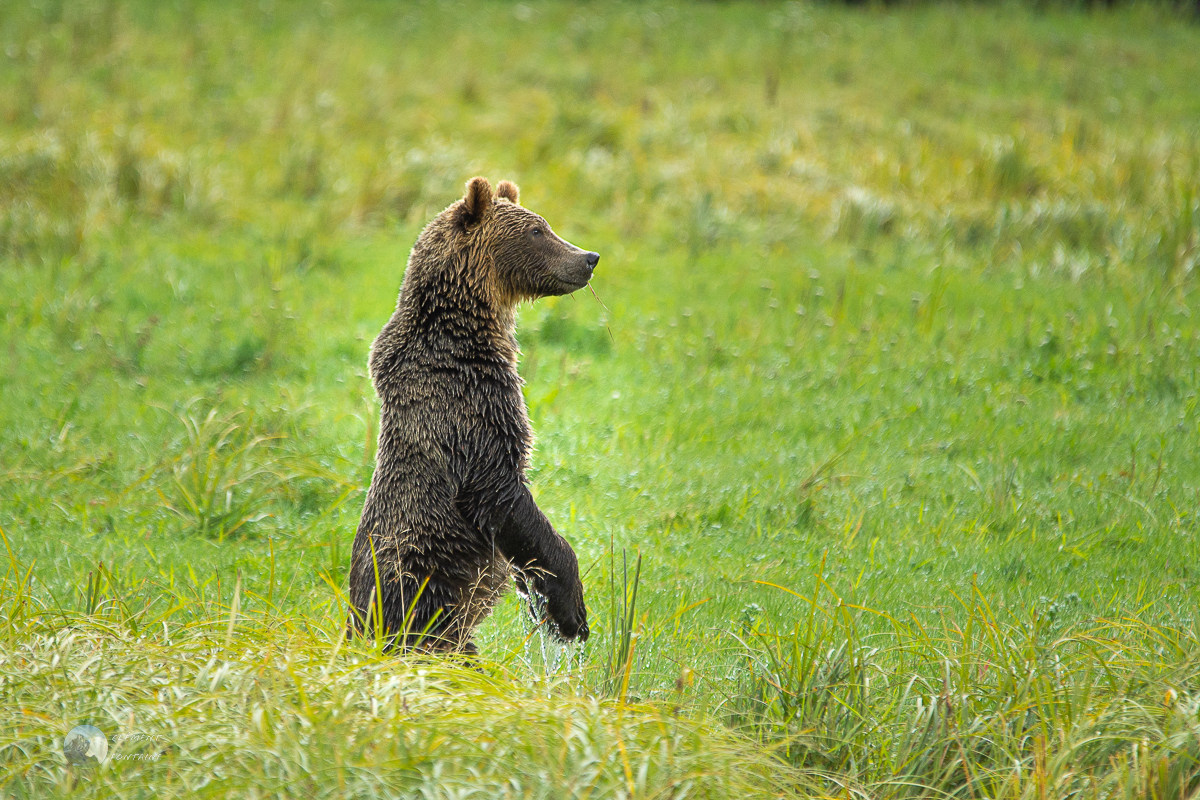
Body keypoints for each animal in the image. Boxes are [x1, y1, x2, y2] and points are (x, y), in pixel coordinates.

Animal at [348, 178, 595, 652]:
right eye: (537, 231)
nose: (589, 258)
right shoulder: (468, 408)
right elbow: (500, 493)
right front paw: (569, 610)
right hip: (420, 593)